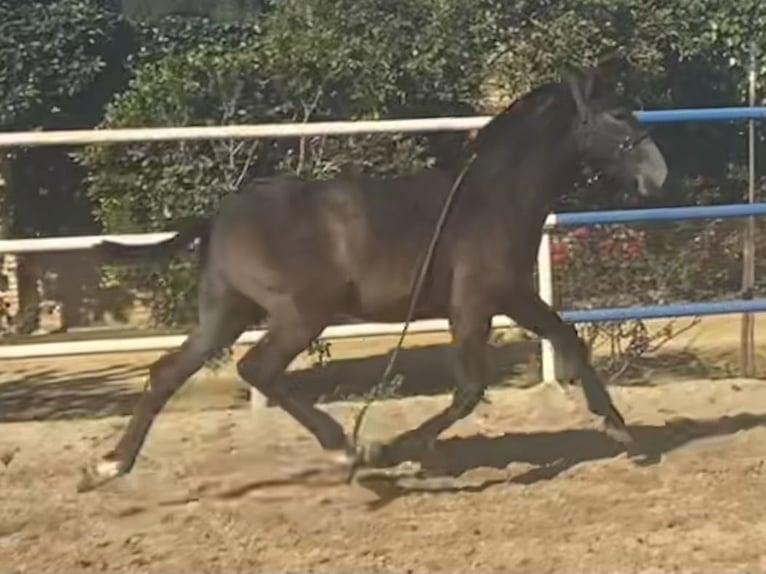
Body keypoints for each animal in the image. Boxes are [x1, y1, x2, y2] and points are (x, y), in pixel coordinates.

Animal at [84, 65, 668, 488]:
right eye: (618, 114)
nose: (658, 174)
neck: (490, 198)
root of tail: (220, 216)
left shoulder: (513, 295)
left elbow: (566, 337)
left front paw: (617, 426)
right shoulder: (476, 304)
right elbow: (469, 390)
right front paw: (388, 450)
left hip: (226, 313)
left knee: (167, 373)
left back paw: (109, 466)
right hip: (300, 314)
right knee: (258, 369)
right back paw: (347, 448)